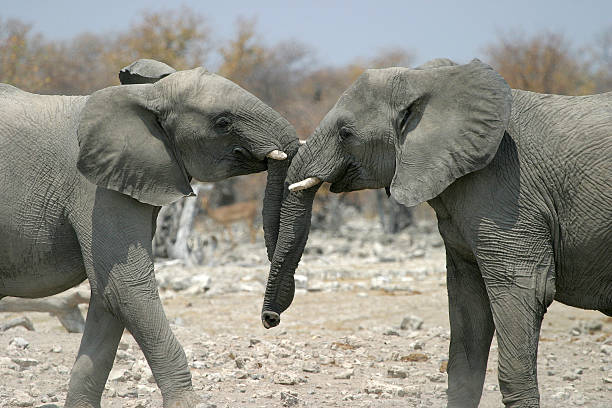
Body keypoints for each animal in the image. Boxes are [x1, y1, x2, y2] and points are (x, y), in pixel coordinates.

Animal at [0, 59, 298, 406]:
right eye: (223, 123)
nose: (270, 319)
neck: (146, 95)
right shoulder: (95, 189)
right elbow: (125, 288)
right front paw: (191, 404)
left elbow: (107, 295)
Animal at [260, 58, 612, 408]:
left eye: (345, 133)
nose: (270, 319)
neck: (433, 79)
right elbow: (467, 306)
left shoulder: (510, 195)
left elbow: (525, 289)